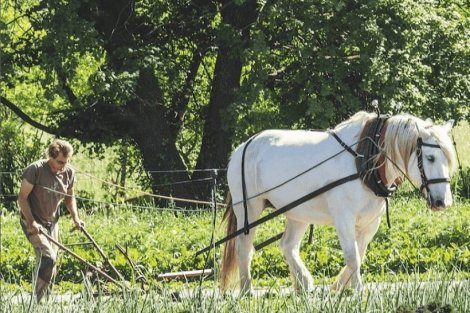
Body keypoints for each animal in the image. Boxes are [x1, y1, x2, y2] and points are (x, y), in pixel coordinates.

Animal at [220, 111, 456, 292]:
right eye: (430, 158)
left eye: (448, 159)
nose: (443, 202)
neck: (364, 160)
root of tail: (242, 147)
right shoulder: (344, 218)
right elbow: (352, 256)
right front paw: (358, 291)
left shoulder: (371, 222)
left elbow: (360, 252)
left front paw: (339, 286)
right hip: (249, 208)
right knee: (244, 247)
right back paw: (247, 290)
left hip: (298, 212)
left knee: (288, 245)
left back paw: (303, 284)